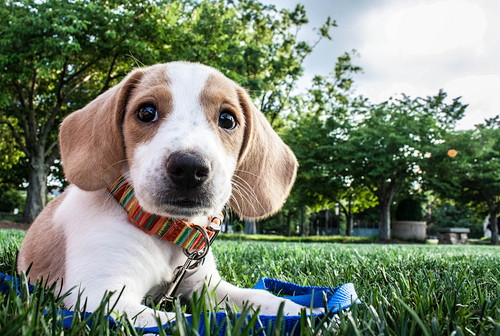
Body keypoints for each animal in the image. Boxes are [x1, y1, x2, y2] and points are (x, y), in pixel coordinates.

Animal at [18, 61, 300, 326]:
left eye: (227, 119)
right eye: (146, 112)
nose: (190, 168)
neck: (164, 231)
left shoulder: (206, 286)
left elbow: (259, 298)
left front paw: (303, 310)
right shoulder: (100, 296)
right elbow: (184, 321)